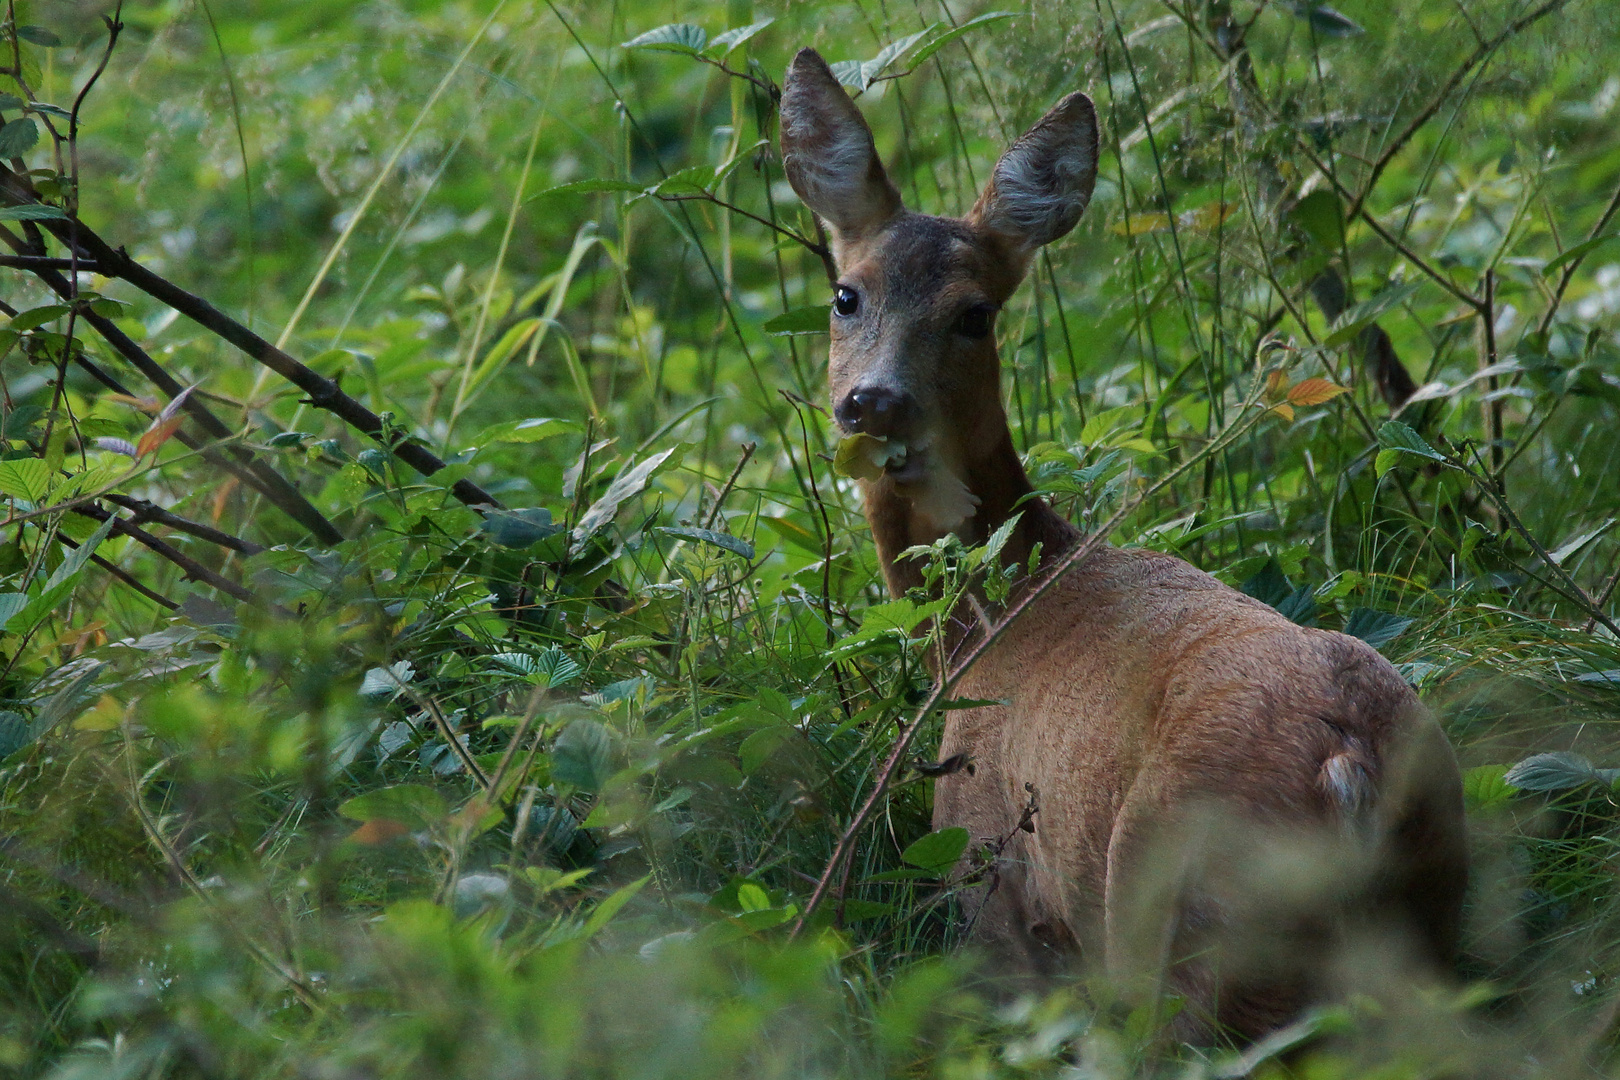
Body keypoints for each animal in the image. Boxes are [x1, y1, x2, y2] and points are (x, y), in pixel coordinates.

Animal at [777, 48, 1477, 1036]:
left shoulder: (987, 873)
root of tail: (1351, 770)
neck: (987, 624)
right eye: (847, 295)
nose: (873, 401)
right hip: (1435, 909)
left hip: (1176, 926)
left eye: (974, 314)